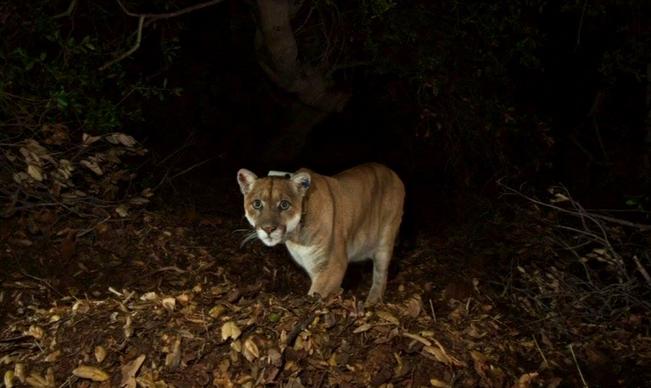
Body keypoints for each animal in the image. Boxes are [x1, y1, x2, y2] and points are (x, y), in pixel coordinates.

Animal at [237, 162, 404, 304]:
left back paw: (372, 301)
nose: (268, 229)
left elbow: (315, 295)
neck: (295, 236)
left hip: (385, 241)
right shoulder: (313, 266)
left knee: (381, 275)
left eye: (284, 205)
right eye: (257, 204)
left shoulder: (332, 266)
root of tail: (391, 172)